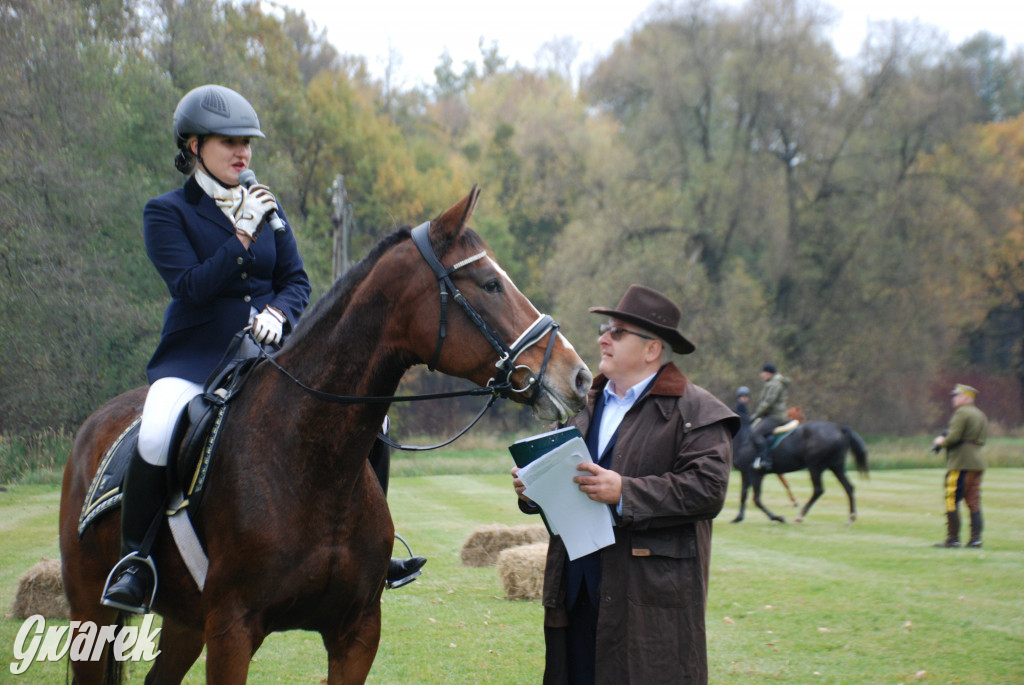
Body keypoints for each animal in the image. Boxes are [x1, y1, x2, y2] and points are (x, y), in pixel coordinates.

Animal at [58, 188, 593, 683]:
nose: (580, 377)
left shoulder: (356, 632)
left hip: (186, 621)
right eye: (490, 285)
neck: (312, 463)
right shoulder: (231, 630)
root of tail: (95, 423)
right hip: (92, 613)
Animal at [733, 417, 868, 524]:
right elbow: (743, 495)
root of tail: (840, 428)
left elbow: (756, 500)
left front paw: (778, 518)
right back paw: (851, 517)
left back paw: (800, 516)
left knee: (818, 490)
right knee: (848, 487)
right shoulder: (745, 473)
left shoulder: (755, 474)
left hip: (815, 467)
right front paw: (738, 518)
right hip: (836, 467)